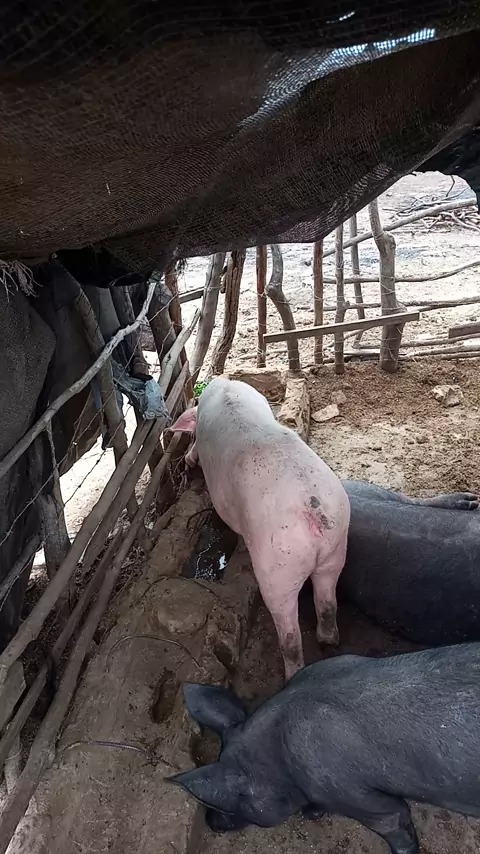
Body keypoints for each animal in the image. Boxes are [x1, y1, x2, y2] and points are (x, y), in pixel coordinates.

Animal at [170, 377, 350, 680]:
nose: (186, 462)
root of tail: (313, 509)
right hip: (336, 549)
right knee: (327, 604)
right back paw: (328, 641)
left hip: (277, 569)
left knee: (290, 637)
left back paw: (292, 676)